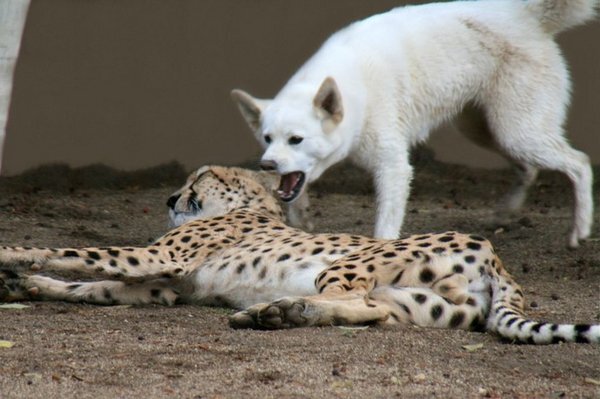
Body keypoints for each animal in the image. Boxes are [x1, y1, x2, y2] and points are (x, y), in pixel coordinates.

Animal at [0, 166, 596, 344]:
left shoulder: (156, 262)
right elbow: (90, 284)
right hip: (422, 304)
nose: (169, 199)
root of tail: (497, 256)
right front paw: (33, 286)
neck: (253, 208)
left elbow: (74, 251)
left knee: (358, 301)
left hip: (343, 267)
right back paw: (280, 312)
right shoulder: (162, 286)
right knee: (376, 314)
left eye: (199, 177)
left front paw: (12, 254)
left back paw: (274, 310)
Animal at [232, 0, 596, 248]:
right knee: (529, 168)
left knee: (580, 163)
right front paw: (301, 219)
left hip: (516, 132)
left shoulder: (393, 167)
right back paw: (506, 213)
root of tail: (525, 16)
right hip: (489, 131)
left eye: (296, 139)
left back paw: (579, 230)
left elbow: (384, 226)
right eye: (267, 139)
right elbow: (295, 193)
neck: (356, 90)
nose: (266, 166)